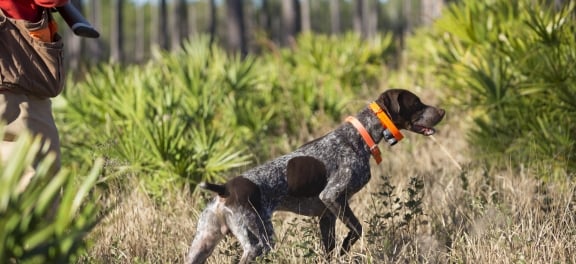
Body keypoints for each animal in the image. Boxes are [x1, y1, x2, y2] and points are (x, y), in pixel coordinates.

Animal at [188, 89, 446, 264]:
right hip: (259, 241)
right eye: (417, 103)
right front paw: (346, 249)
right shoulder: (333, 196)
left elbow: (330, 247)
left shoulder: (327, 214)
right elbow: (357, 229)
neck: (359, 137)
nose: (443, 111)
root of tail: (223, 190)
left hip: (201, 244)